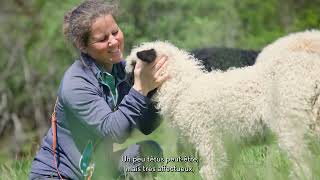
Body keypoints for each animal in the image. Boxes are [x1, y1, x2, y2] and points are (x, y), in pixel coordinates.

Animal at [124, 30, 320, 179]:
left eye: (134, 66)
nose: (126, 85)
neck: (184, 88)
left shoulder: (208, 139)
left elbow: (210, 171)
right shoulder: (226, 145)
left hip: (292, 124)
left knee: (302, 165)